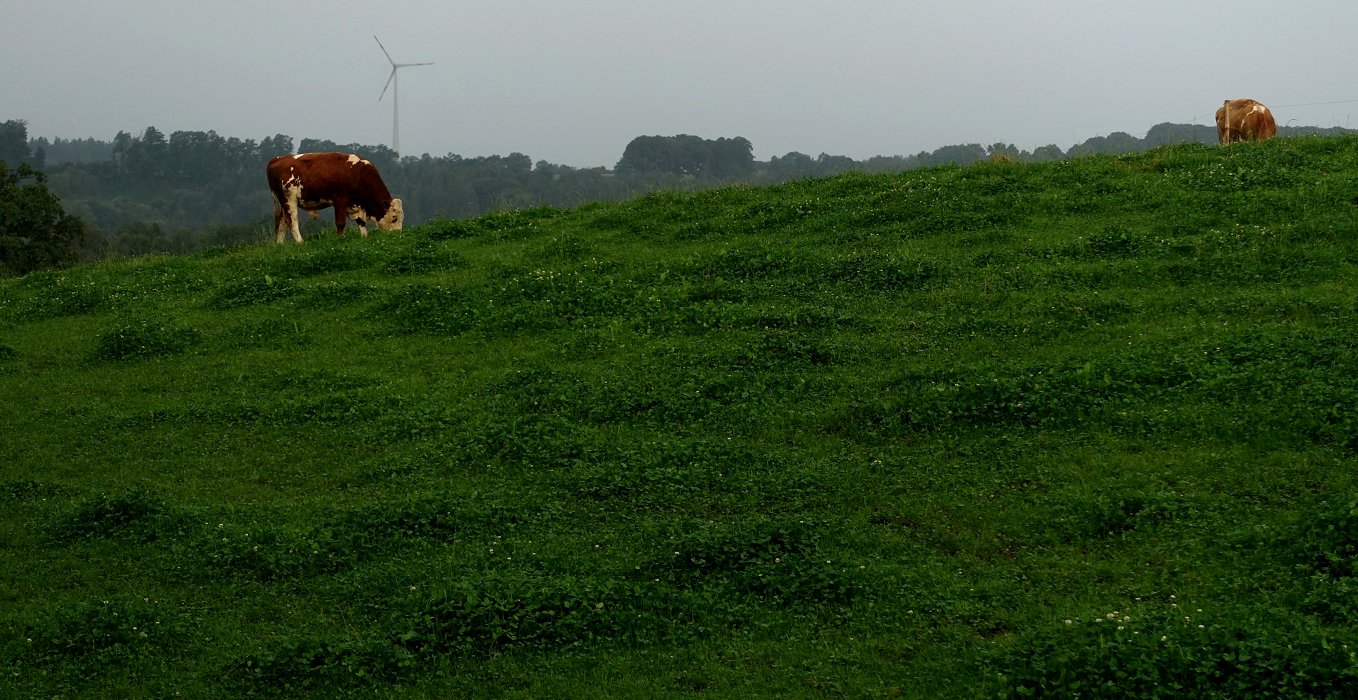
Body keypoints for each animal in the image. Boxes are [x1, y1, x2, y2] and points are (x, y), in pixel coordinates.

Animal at [263, 151, 399, 243]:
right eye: (394, 218)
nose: (398, 235)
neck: (357, 173)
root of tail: (277, 159)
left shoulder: (354, 204)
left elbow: (360, 222)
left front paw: (364, 236)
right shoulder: (340, 200)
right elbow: (340, 223)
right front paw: (340, 239)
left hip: (282, 202)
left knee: (282, 222)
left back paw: (280, 244)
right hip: (289, 199)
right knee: (292, 220)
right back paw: (300, 242)